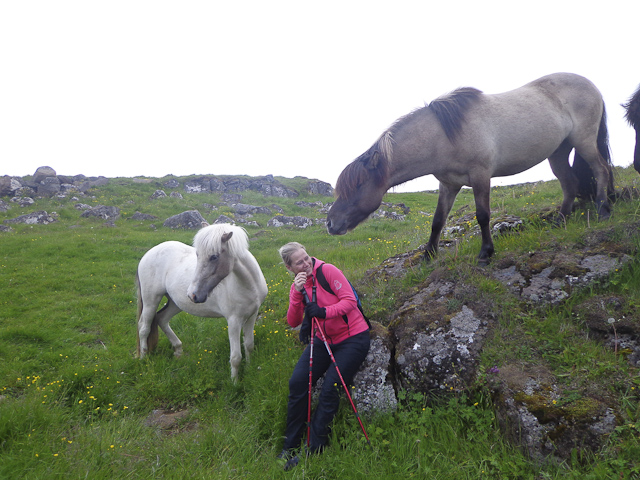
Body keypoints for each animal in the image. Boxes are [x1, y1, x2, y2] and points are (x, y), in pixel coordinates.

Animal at [135, 223, 268, 380]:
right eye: (197, 255)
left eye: (214, 257)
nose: (193, 294)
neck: (249, 285)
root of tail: (148, 253)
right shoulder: (234, 321)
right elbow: (235, 357)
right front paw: (234, 382)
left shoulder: (252, 315)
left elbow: (249, 345)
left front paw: (248, 369)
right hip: (151, 300)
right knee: (144, 327)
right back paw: (143, 358)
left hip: (175, 303)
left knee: (161, 319)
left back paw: (178, 350)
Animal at [328, 73, 612, 264]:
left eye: (357, 186)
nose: (330, 223)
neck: (444, 135)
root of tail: (591, 85)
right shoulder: (449, 184)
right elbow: (438, 220)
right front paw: (428, 255)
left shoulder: (480, 175)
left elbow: (482, 215)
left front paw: (486, 253)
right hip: (558, 151)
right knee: (569, 183)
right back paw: (560, 221)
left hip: (584, 141)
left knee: (601, 170)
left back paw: (603, 210)